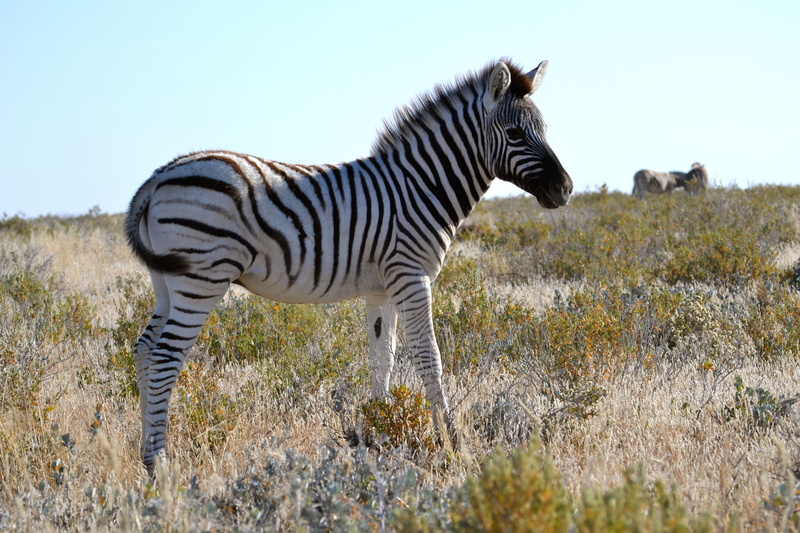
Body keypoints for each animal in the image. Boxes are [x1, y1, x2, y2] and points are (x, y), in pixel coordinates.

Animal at [126, 58, 573, 474]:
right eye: (514, 134)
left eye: (545, 129)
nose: (565, 189)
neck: (420, 187)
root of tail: (159, 176)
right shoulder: (412, 276)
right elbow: (429, 357)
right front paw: (454, 445)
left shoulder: (382, 288)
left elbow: (382, 359)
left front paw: (379, 435)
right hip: (202, 278)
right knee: (165, 358)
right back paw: (161, 467)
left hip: (167, 282)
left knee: (145, 352)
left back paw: (145, 458)